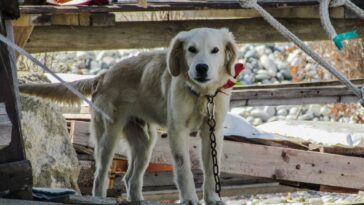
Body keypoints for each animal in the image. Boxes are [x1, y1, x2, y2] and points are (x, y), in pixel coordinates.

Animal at [22, 27, 239, 205]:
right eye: (191, 49)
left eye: (215, 50)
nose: (201, 68)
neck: (201, 94)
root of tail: (104, 75)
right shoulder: (178, 130)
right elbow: (183, 167)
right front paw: (189, 199)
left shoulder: (212, 131)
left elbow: (211, 169)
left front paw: (213, 198)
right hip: (108, 136)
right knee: (100, 175)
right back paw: (100, 198)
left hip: (145, 142)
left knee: (130, 178)